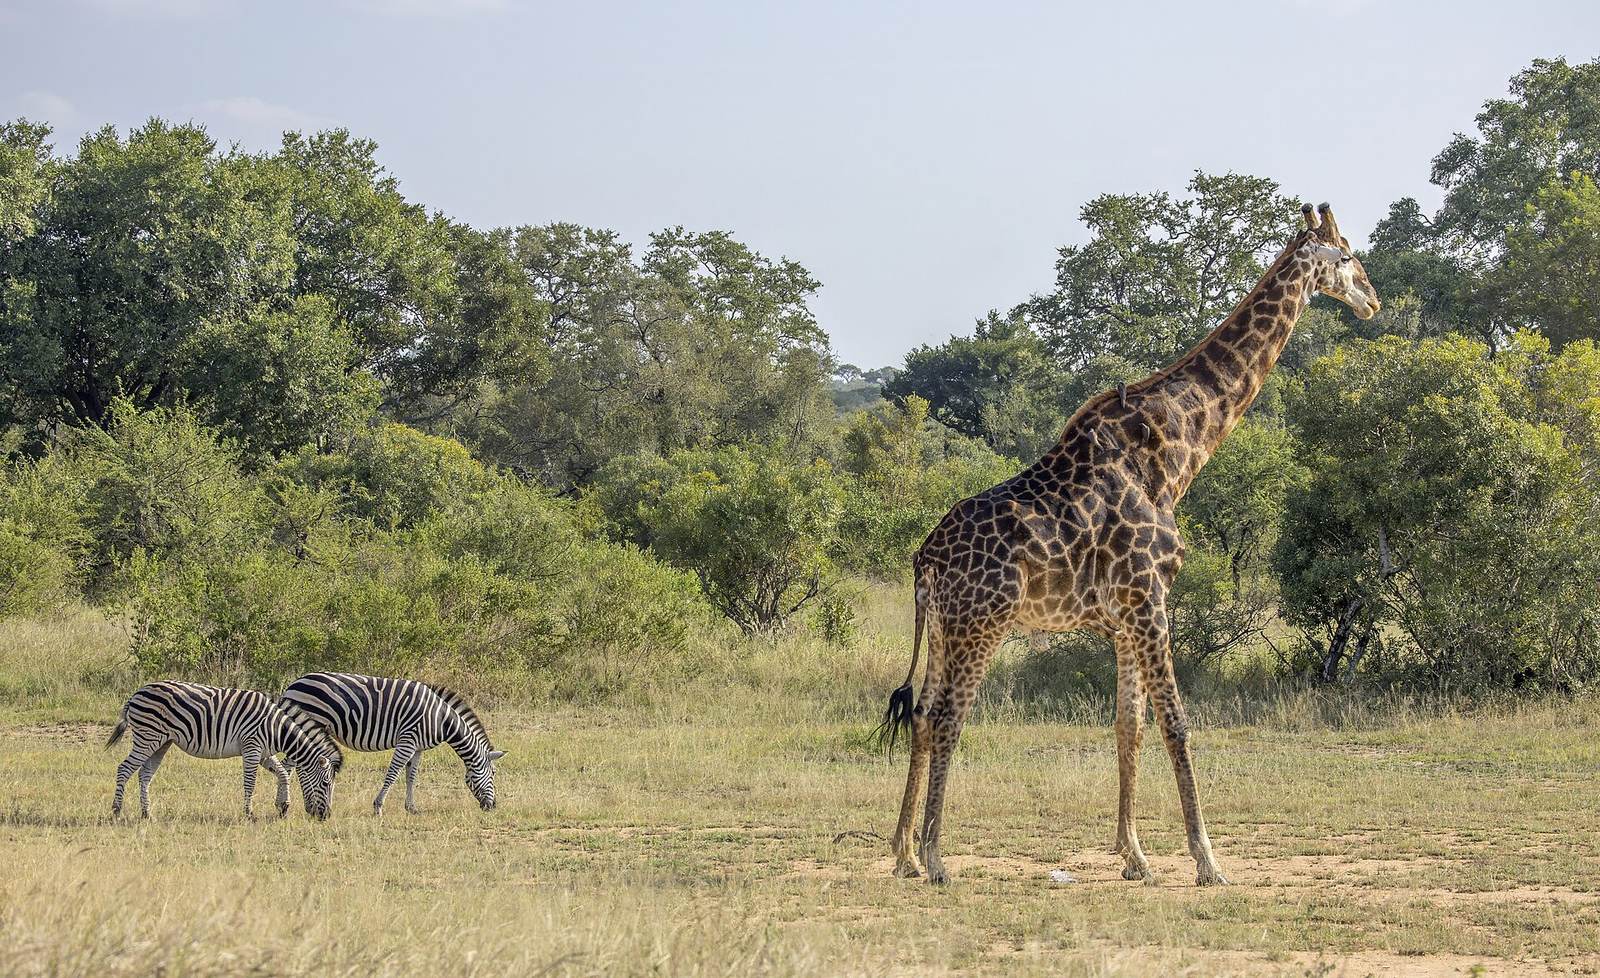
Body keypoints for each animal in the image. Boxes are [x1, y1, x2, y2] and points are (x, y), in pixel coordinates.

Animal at [106, 681, 340, 820]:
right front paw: (249, 814)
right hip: (147, 738)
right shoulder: (252, 747)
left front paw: (283, 806)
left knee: (144, 775)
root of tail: (136, 694)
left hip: (161, 742)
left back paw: (147, 814)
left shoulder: (264, 753)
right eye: (326, 784)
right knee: (124, 769)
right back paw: (116, 811)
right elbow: (250, 783)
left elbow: (283, 774)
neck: (276, 728)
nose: (326, 816)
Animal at [279, 672, 504, 814]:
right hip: (308, 724)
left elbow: (411, 776)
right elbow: (393, 773)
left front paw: (411, 808)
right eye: (493, 773)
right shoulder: (407, 740)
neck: (441, 718)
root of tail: (293, 684)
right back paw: (284, 806)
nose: (492, 807)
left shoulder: (418, 747)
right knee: (290, 765)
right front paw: (378, 806)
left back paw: (304, 805)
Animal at [880, 203, 1380, 887]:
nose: (1373, 301)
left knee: (924, 715)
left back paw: (903, 852)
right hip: (982, 624)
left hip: (943, 628)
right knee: (948, 717)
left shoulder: (1123, 618)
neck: (1176, 451)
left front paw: (1135, 856)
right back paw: (934, 859)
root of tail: (923, 560)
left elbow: (1128, 727)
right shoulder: (1151, 600)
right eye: (1348, 254)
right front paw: (1207, 860)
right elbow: (1177, 723)